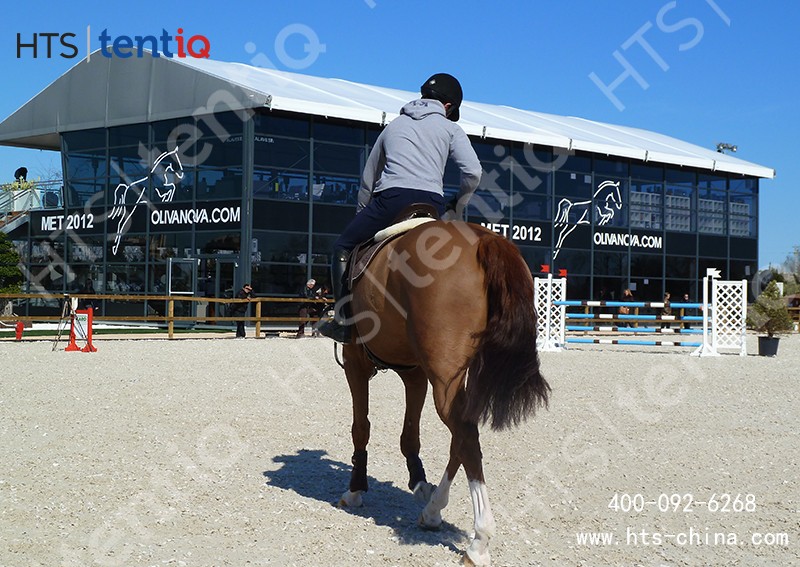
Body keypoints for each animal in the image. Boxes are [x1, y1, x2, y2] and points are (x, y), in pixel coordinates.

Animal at [336, 220, 552, 564]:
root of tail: (484, 238)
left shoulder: (355, 362)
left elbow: (361, 427)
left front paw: (356, 489)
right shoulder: (414, 373)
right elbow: (410, 433)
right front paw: (418, 481)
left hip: (443, 374)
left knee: (466, 435)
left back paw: (479, 540)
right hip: (454, 376)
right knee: (461, 437)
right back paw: (433, 510)